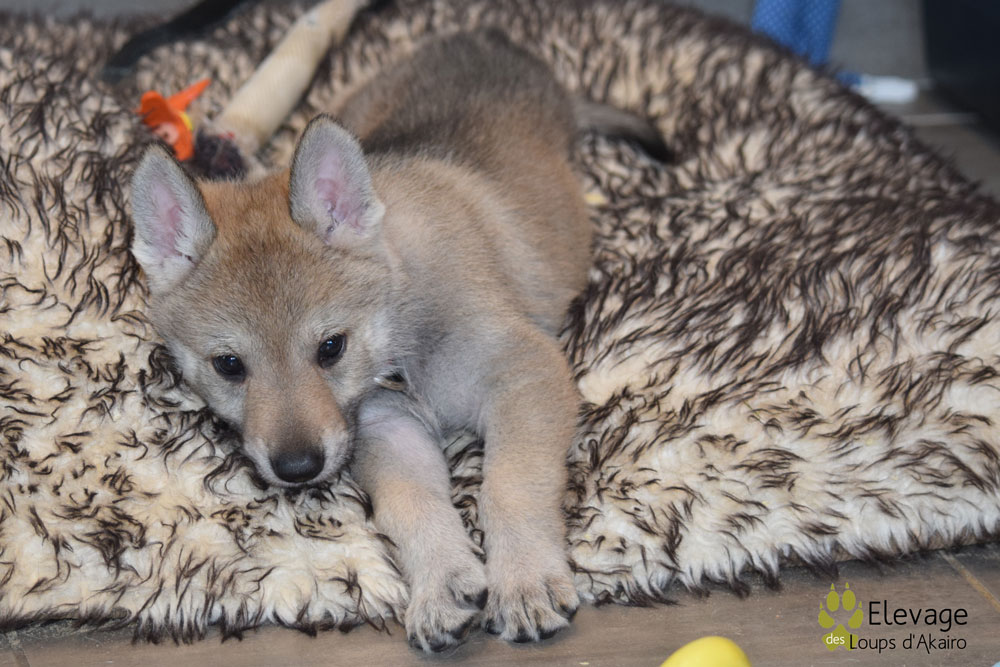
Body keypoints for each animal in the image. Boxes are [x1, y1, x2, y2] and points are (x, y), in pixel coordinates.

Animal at [129, 30, 666, 652]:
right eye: (229, 365)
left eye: (330, 348)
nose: (297, 468)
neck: (402, 332)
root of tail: (485, 36)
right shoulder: (389, 430)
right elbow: (413, 506)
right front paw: (442, 584)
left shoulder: (525, 374)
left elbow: (509, 484)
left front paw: (524, 580)